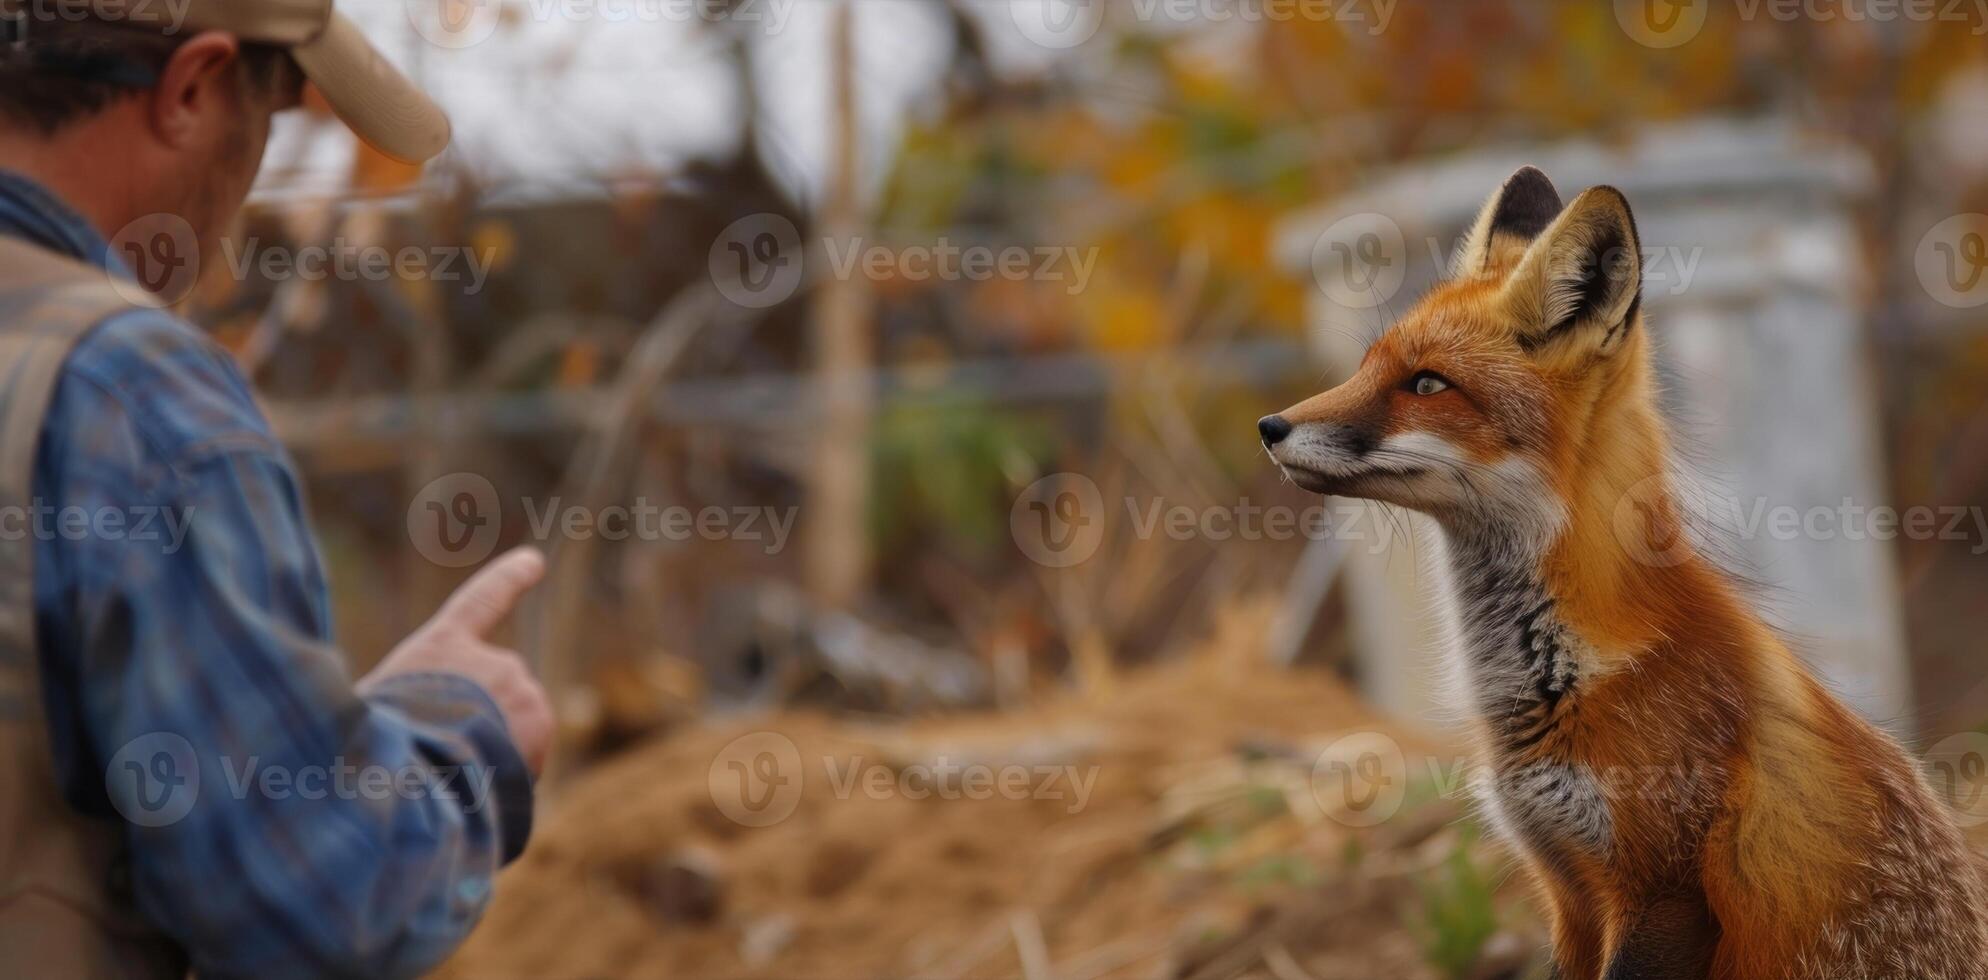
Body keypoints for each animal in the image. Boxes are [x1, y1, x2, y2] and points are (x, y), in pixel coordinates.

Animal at [1264, 165, 1980, 970]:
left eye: (1425, 385)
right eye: (1365, 368)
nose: (1270, 426)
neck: (1560, 673)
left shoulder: (1664, 893)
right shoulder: (1565, 891)